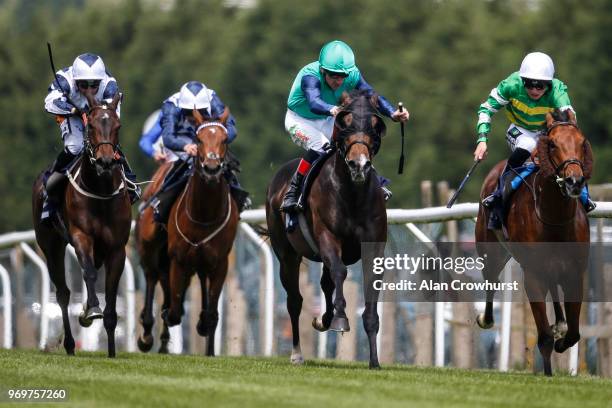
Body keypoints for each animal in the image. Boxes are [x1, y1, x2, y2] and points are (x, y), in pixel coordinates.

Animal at [31, 93, 131, 356]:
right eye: (91, 126)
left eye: (117, 126)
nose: (105, 161)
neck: (101, 190)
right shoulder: (81, 237)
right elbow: (88, 273)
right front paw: (92, 309)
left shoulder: (117, 248)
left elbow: (111, 290)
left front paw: (112, 351)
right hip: (50, 245)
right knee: (63, 293)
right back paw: (69, 343)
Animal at [136, 107, 239, 356]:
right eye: (198, 139)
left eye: (224, 140)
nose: (211, 168)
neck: (203, 214)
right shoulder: (178, 260)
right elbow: (173, 309)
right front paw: (166, 317)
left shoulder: (219, 262)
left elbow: (211, 312)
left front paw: (207, 341)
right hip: (150, 247)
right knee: (152, 278)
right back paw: (147, 334)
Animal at [264, 90, 384, 370]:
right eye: (345, 122)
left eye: (375, 124)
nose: (359, 164)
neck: (352, 194)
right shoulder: (328, 238)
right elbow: (340, 273)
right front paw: (341, 318)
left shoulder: (374, 247)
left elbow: (368, 295)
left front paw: (374, 360)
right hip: (286, 254)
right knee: (295, 300)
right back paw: (297, 353)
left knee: (326, 283)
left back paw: (323, 319)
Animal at [474, 109, 592, 376]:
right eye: (553, 144)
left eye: (582, 143)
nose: (574, 181)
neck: (554, 217)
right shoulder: (533, 274)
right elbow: (544, 336)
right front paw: (547, 372)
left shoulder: (575, 273)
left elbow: (574, 333)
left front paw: (561, 338)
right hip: (490, 250)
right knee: (491, 279)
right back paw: (486, 318)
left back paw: (559, 323)